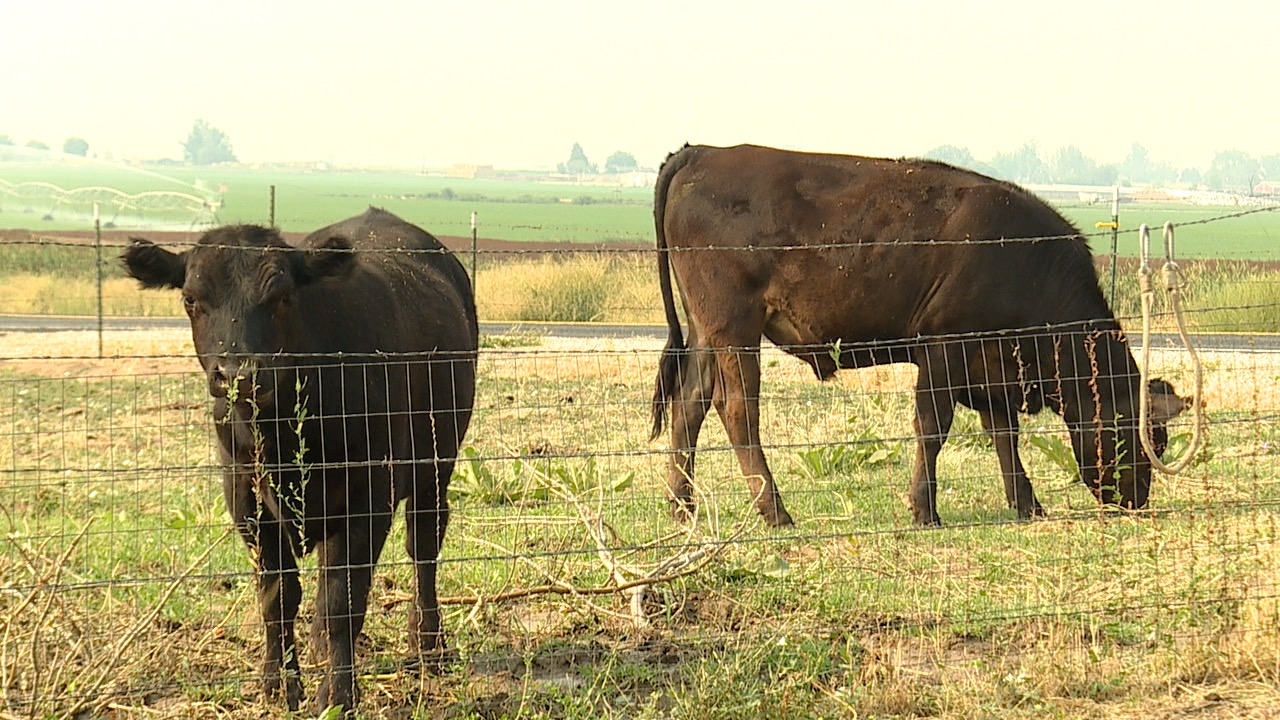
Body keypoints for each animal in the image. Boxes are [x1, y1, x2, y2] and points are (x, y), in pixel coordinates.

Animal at [121, 208, 477, 713]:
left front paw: (338, 694)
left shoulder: (370, 494)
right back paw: (320, 645)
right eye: (191, 299)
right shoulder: (245, 497)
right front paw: (278, 682)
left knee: (423, 547)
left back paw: (427, 646)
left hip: (436, 464)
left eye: (282, 297)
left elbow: (343, 597)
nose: (238, 373)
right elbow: (278, 594)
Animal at [649, 144, 1187, 528]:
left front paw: (1027, 505)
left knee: (690, 403)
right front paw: (925, 509)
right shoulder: (944, 348)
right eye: (1147, 440)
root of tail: (703, 152)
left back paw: (682, 505)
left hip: (705, 330)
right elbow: (933, 427)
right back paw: (775, 512)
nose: (1137, 500)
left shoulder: (990, 368)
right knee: (738, 409)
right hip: (734, 326)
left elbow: (1003, 435)